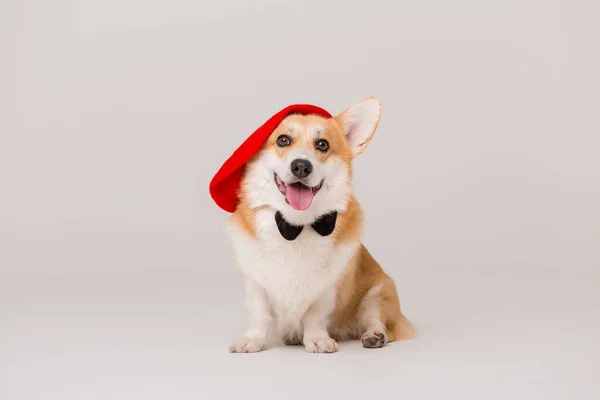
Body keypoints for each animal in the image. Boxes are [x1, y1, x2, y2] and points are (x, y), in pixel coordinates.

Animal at [223, 97, 414, 354]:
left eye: (322, 145)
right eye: (283, 140)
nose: (301, 166)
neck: (296, 226)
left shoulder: (329, 286)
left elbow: (315, 315)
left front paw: (317, 339)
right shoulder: (256, 284)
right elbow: (259, 315)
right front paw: (252, 340)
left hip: (379, 292)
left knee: (376, 320)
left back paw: (375, 335)